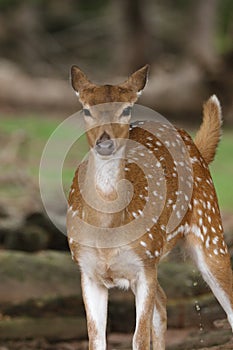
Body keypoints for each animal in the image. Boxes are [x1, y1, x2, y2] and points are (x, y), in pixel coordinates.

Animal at [66, 64, 233, 348]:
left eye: (127, 109)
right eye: (86, 110)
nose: (105, 142)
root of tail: (195, 144)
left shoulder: (144, 265)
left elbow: (139, 338)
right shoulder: (87, 270)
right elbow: (96, 339)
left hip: (209, 229)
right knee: (163, 302)